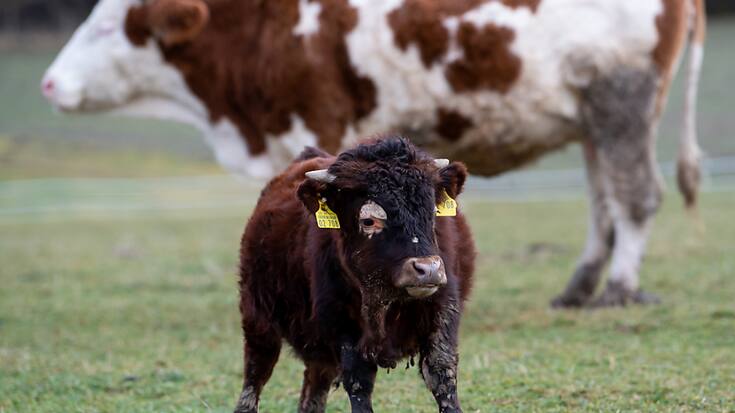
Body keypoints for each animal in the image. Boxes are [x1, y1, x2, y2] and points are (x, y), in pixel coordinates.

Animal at [41, 0, 707, 307]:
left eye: (108, 27)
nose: (48, 83)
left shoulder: (319, 121)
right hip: (594, 122)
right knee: (603, 202)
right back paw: (578, 287)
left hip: (621, 103)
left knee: (636, 197)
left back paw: (618, 287)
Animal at [235, 137, 475, 413]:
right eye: (369, 221)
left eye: (433, 212)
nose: (428, 269)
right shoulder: (343, 326)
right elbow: (359, 381)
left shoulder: (443, 310)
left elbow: (442, 374)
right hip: (257, 321)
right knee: (256, 374)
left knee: (314, 386)